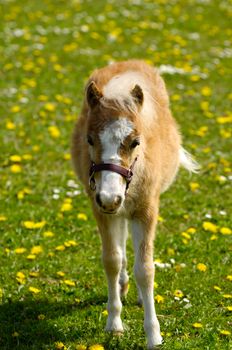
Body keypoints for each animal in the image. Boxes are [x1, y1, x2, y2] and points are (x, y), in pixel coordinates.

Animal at [71, 60, 198, 348]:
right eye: (89, 139)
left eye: (135, 142)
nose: (110, 197)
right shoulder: (101, 208)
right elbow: (111, 259)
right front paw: (114, 324)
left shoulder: (146, 210)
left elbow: (146, 269)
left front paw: (154, 335)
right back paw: (122, 285)